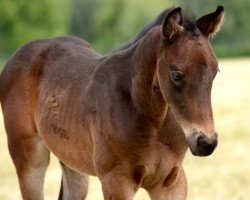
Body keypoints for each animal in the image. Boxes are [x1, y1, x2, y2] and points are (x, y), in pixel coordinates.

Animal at [0, 6, 225, 200]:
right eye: (176, 75)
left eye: (215, 71)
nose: (206, 142)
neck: (152, 121)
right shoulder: (116, 183)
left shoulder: (171, 183)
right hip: (30, 160)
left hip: (73, 163)